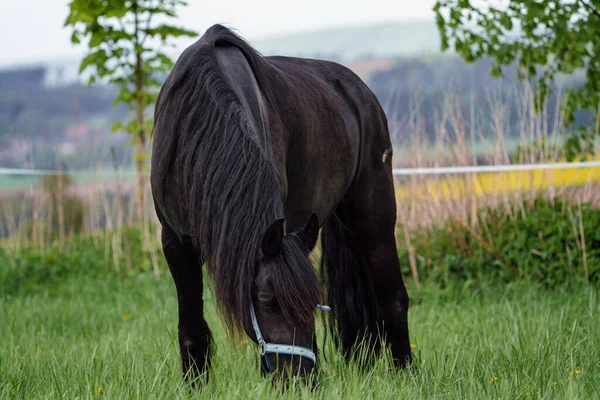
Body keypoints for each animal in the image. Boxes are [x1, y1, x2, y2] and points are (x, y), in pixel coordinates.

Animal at [151, 24, 412, 382]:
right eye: (265, 298)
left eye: (313, 302)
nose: (301, 379)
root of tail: (358, 90)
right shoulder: (175, 241)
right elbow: (192, 331)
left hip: (375, 214)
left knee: (393, 298)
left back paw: (407, 375)